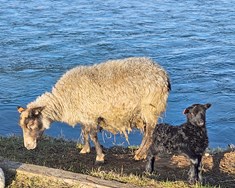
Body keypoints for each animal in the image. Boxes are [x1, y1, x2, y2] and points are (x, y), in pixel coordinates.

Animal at [17, 57, 171, 163]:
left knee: (149, 132)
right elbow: (85, 132)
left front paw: (99, 157)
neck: (63, 100)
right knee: (147, 131)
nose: (28, 146)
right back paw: (142, 152)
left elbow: (92, 135)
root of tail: (162, 73)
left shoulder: (91, 116)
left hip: (150, 107)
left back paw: (139, 154)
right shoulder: (84, 115)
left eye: (31, 125)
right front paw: (85, 149)